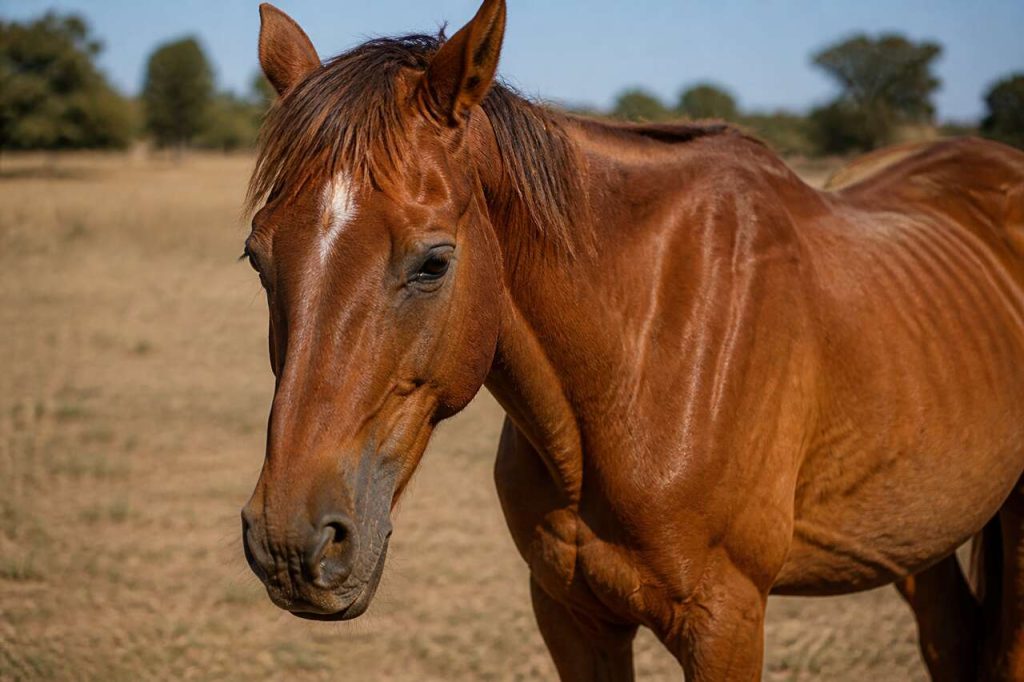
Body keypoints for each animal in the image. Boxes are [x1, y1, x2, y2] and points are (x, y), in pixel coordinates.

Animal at [239, 2, 1024, 679]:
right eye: (257, 256)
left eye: (434, 261)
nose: (291, 542)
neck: (641, 360)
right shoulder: (571, 615)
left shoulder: (725, 622)